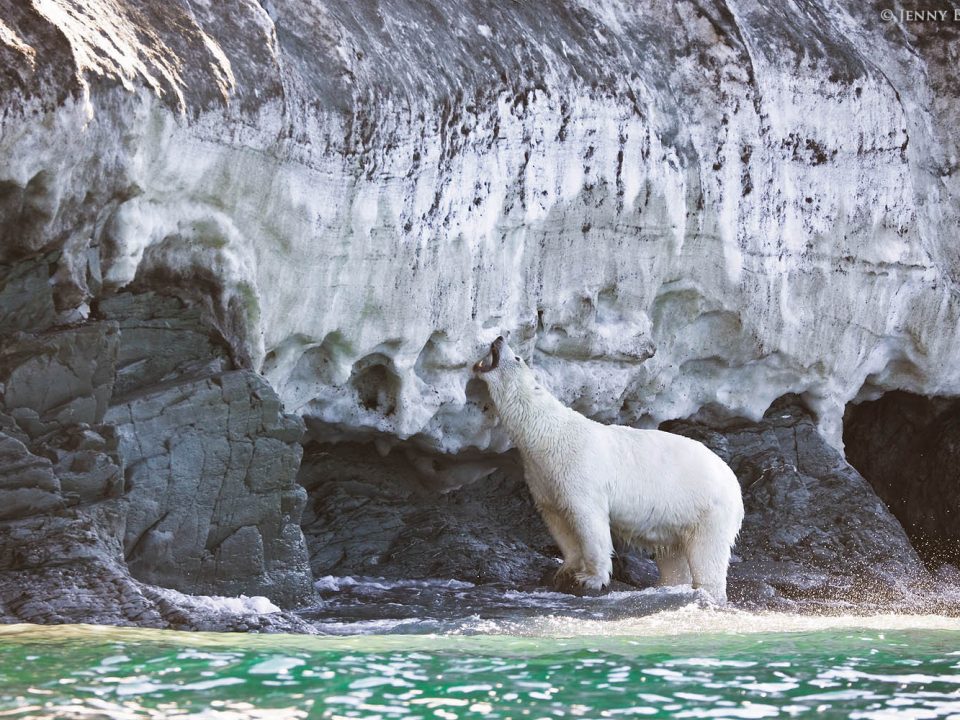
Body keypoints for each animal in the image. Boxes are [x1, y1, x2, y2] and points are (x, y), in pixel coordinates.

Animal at [472, 336, 744, 600]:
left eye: (517, 357)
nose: (498, 338)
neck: (550, 433)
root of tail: (735, 485)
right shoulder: (543, 476)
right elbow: (557, 520)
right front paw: (565, 569)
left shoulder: (578, 469)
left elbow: (589, 521)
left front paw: (591, 579)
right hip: (678, 517)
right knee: (672, 554)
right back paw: (667, 585)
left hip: (708, 509)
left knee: (708, 553)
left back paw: (708, 592)